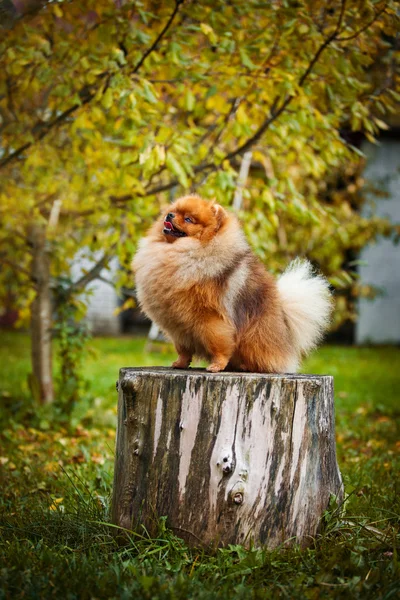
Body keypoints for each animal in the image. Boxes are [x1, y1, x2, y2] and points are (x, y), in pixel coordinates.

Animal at [133, 195, 332, 372]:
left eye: (188, 219)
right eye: (173, 211)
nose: (169, 216)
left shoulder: (210, 320)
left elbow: (219, 346)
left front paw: (217, 366)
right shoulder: (178, 328)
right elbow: (184, 350)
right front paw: (180, 363)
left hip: (255, 335)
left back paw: (245, 366)